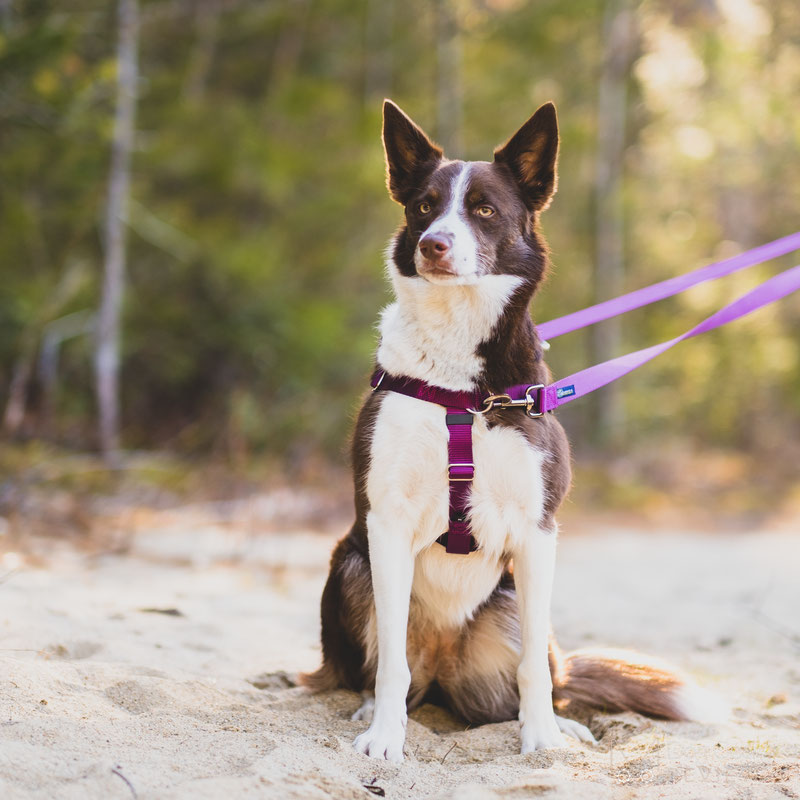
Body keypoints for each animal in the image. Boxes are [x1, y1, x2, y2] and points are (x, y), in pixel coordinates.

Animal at [302, 100, 724, 764]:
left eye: (484, 209)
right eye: (423, 206)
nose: (433, 245)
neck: (459, 382)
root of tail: (444, 659)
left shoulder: (537, 530)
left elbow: (531, 671)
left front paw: (543, 737)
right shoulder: (386, 522)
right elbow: (389, 659)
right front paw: (386, 737)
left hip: (510, 608)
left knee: (549, 673)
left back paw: (564, 724)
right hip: (349, 566)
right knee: (380, 666)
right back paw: (373, 708)